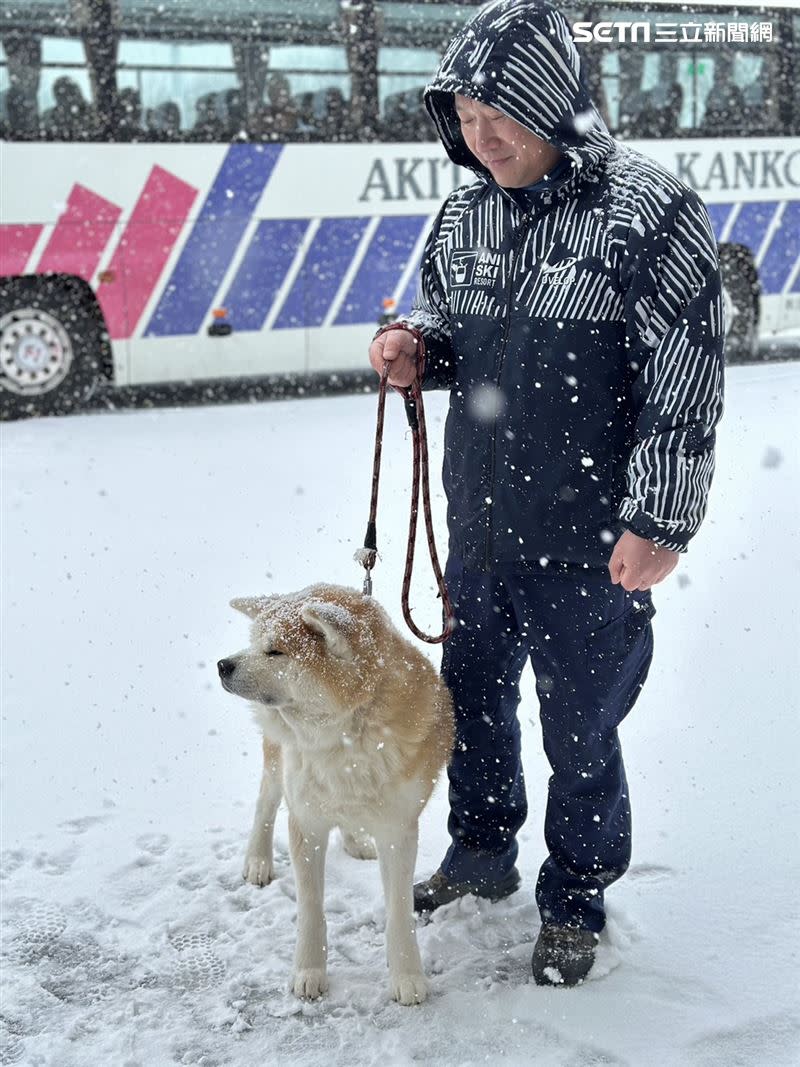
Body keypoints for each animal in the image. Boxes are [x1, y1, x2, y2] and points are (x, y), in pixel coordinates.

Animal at [219, 588, 454, 1002]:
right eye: (255, 643)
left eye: (275, 651)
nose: (222, 665)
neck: (343, 737)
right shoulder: (306, 822)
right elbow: (311, 908)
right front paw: (309, 970)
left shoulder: (398, 831)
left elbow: (399, 911)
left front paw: (407, 975)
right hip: (278, 764)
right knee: (266, 804)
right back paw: (258, 860)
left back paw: (355, 840)